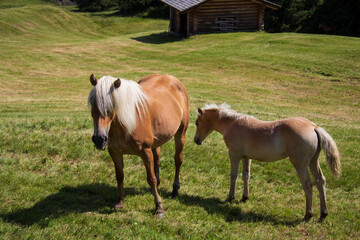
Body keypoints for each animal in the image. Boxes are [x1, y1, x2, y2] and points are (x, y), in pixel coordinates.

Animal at [88, 73, 190, 218]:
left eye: (111, 105)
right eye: (92, 103)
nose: (99, 139)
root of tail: (172, 78)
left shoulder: (145, 152)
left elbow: (151, 178)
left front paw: (159, 207)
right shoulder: (115, 152)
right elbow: (120, 176)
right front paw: (119, 202)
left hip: (180, 134)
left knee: (178, 160)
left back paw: (174, 190)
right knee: (157, 157)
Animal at [194, 103, 340, 221]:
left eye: (197, 123)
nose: (196, 140)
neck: (232, 124)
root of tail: (314, 127)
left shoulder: (234, 155)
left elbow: (233, 175)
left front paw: (230, 198)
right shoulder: (246, 157)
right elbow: (246, 175)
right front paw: (244, 197)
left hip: (300, 165)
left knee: (308, 185)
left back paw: (308, 214)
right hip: (313, 162)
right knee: (320, 181)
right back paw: (323, 213)